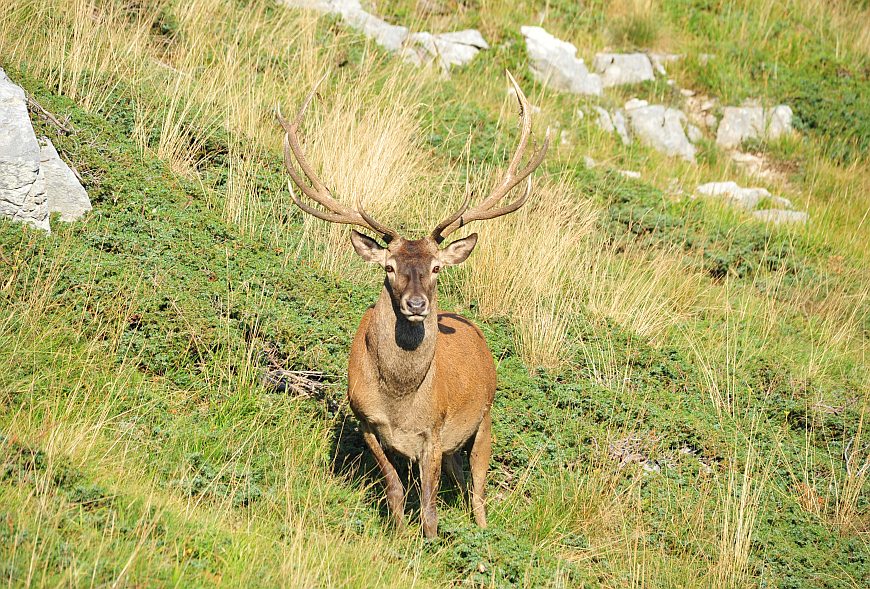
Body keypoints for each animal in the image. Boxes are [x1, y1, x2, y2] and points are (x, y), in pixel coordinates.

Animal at [280, 71, 548, 536]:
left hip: (485, 417)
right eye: (389, 267)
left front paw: (428, 540)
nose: (418, 304)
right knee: (461, 479)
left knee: (478, 490)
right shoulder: (366, 420)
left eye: (437, 267)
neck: (401, 402)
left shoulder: (435, 431)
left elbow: (429, 503)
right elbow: (395, 486)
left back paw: (482, 533)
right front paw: (398, 533)